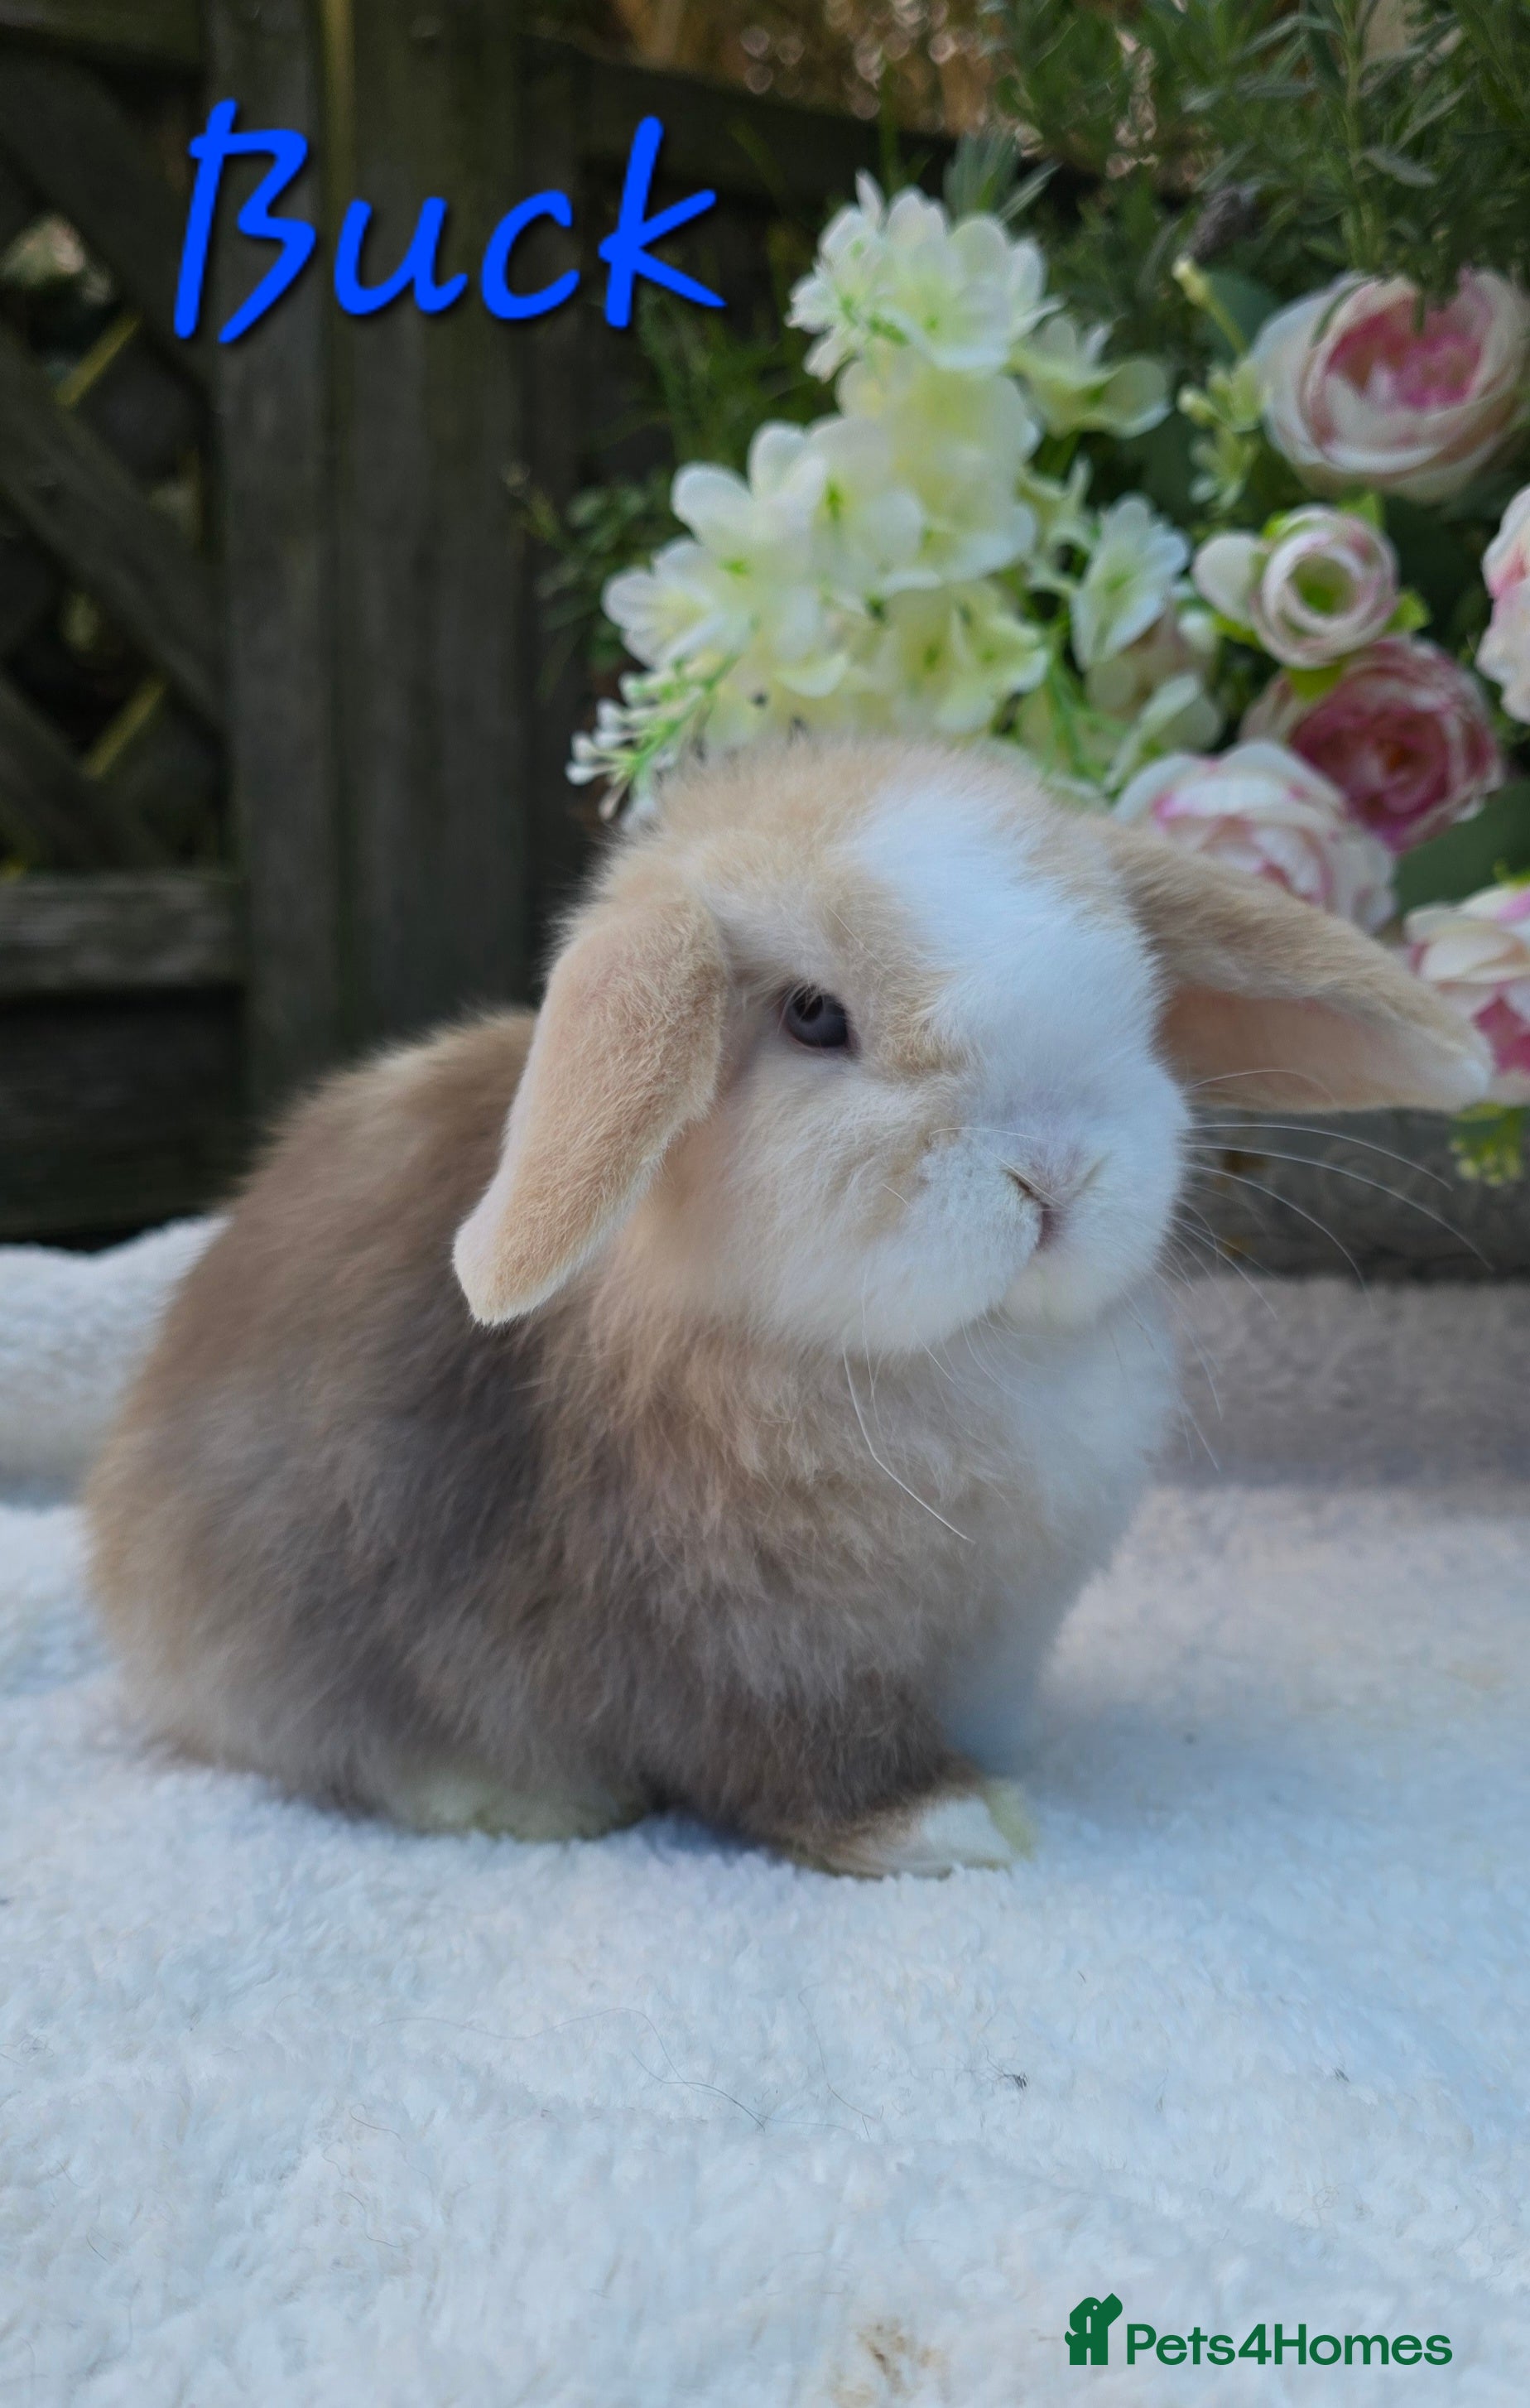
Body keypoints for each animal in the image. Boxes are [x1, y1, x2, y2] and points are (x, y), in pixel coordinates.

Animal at [86, 737, 1489, 1875]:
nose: (1056, 1174)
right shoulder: (752, 1649)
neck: (948, 1356)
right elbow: (807, 1759)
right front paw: (954, 1826)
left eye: (1133, 993)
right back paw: (520, 1801)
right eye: (816, 1018)